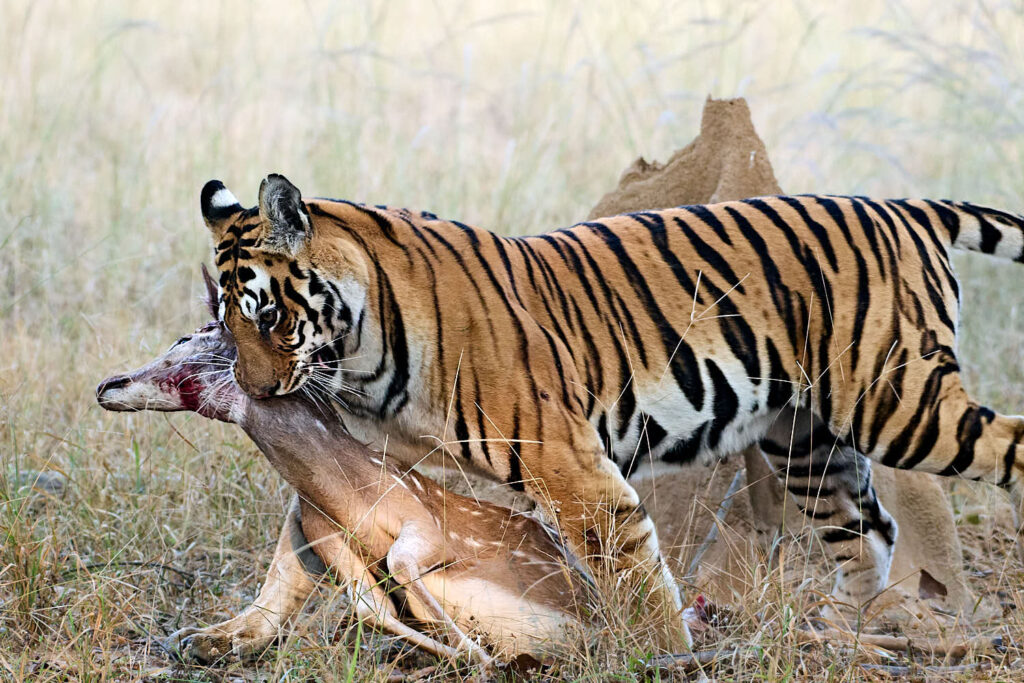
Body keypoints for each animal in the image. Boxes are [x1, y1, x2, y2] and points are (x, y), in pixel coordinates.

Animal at [95, 267, 592, 668]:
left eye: (190, 335)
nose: (108, 385)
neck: (348, 494)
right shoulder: (319, 532)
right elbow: (367, 606)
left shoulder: (423, 520)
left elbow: (398, 572)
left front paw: (489, 661)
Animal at [200, 173, 1024, 643]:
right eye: (223, 316)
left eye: (267, 312)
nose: (256, 390)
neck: (364, 350)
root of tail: (905, 205)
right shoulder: (358, 456)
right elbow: (295, 546)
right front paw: (235, 634)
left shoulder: (574, 471)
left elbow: (638, 581)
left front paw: (665, 657)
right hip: (807, 439)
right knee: (870, 531)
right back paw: (843, 628)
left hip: (900, 402)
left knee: (1004, 446)